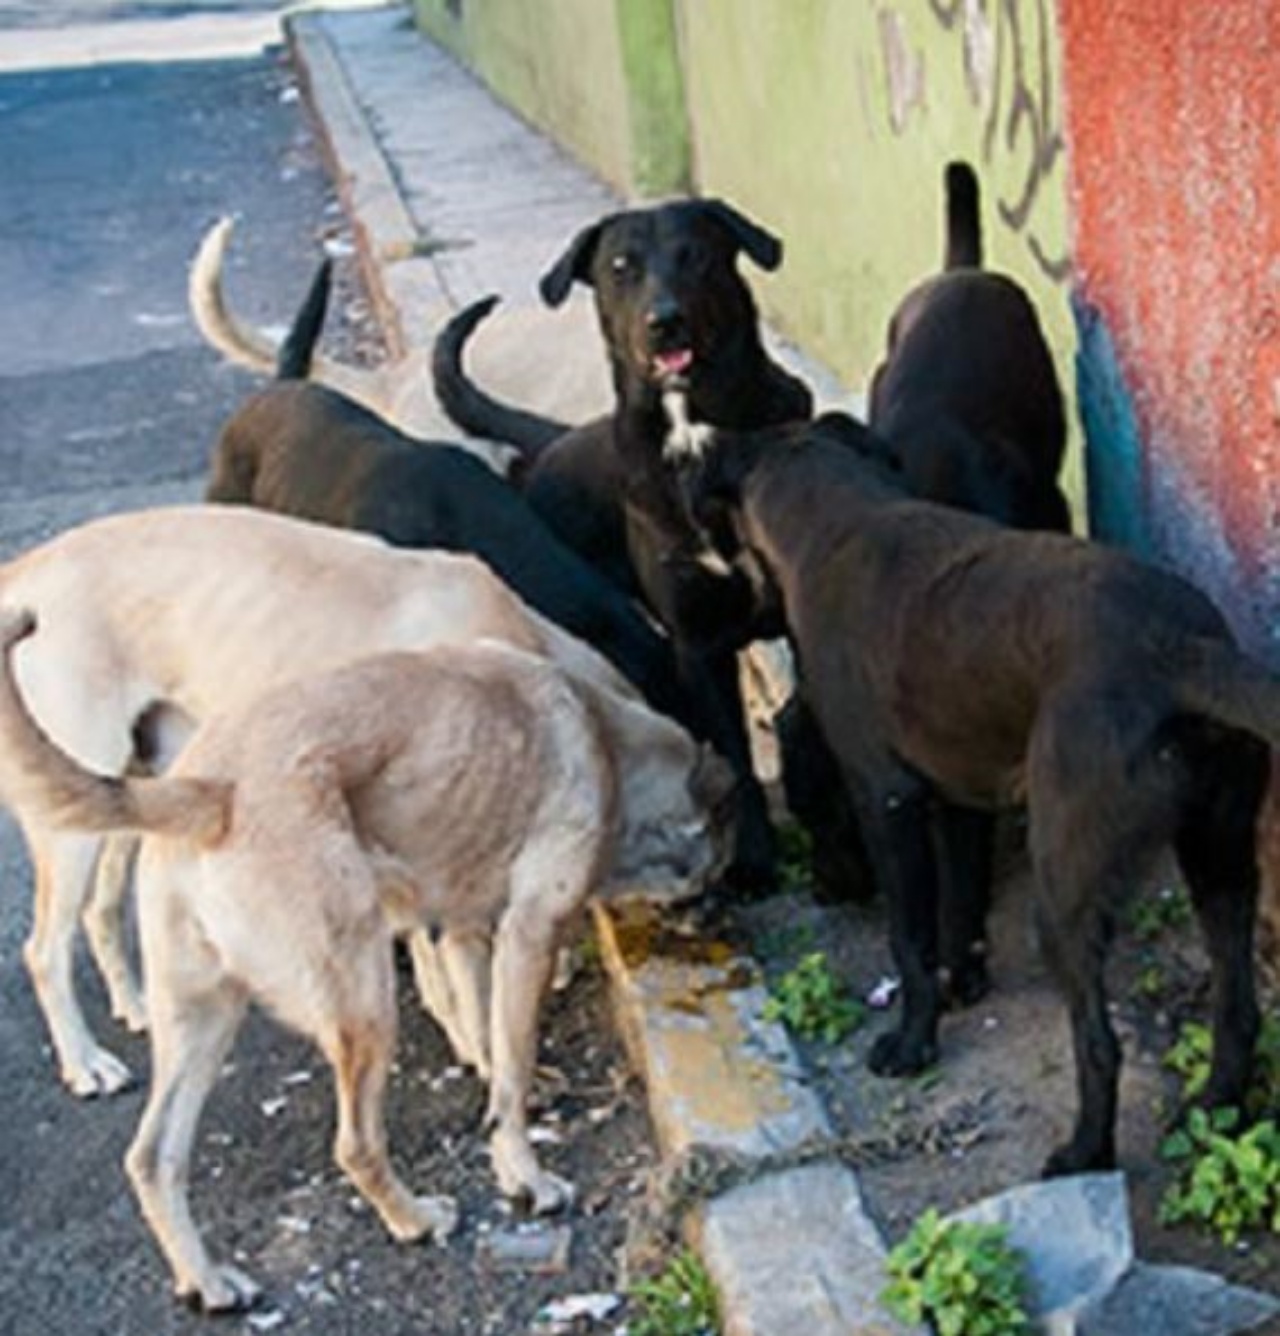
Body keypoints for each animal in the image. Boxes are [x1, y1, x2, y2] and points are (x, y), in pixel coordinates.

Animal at [0, 502, 646, 1095]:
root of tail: (23, 570)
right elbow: (458, 977)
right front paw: (487, 1056)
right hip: (71, 822)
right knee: (43, 951)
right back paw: (85, 1062)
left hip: (126, 793)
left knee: (100, 910)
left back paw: (133, 1006)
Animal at [0, 614, 732, 1314]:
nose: (716, 918)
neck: (602, 734)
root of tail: (209, 789)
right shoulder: (528, 936)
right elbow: (511, 1070)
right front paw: (525, 1175)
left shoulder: (463, 935)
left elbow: (486, 1040)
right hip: (364, 1005)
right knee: (354, 1144)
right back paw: (413, 1219)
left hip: (203, 1020)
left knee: (153, 1158)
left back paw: (206, 1281)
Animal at [430, 197, 812, 887]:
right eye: (620, 267)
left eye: (695, 254)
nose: (665, 322)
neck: (693, 433)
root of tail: (553, 438)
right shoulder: (697, 645)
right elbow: (735, 756)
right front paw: (753, 862)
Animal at [676, 419, 1277, 1181]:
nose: (823, 892)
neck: (834, 519)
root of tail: (1181, 651)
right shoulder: (959, 799)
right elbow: (961, 903)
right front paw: (961, 980)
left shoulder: (888, 799)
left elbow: (909, 935)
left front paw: (912, 1041)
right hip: (1218, 857)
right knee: (1237, 1010)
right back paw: (1215, 1106)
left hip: (1067, 892)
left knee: (1099, 1046)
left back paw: (1085, 1151)